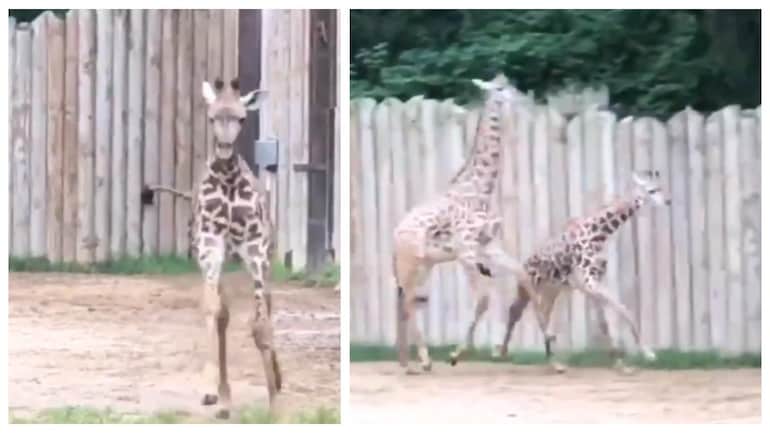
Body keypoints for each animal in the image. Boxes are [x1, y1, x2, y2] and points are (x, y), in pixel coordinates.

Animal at [143, 78, 280, 419]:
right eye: (211, 117)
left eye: (242, 118)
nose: (225, 148)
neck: (228, 180)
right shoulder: (210, 245)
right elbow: (212, 310)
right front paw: (209, 389)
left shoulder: (255, 248)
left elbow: (261, 325)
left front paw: (276, 404)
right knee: (224, 316)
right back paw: (224, 400)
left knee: (267, 308)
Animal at [392, 74, 550, 373]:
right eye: (500, 88)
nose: (527, 100)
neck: (480, 190)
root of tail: (394, 237)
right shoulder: (466, 251)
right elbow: (484, 299)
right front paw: (456, 354)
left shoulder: (488, 247)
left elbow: (524, 277)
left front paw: (550, 349)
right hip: (411, 265)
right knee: (407, 301)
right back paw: (422, 361)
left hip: (426, 266)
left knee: (407, 301)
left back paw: (408, 362)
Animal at [494, 169, 670, 373]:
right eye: (651, 190)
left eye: (661, 187)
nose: (668, 201)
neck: (599, 234)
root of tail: (524, 264)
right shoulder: (589, 282)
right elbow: (623, 309)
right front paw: (648, 353)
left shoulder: (592, 284)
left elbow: (605, 322)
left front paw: (620, 363)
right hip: (529, 288)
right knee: (518, 312)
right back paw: (505, 352)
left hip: (552, 291)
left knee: (542, 315)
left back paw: (554, 362)